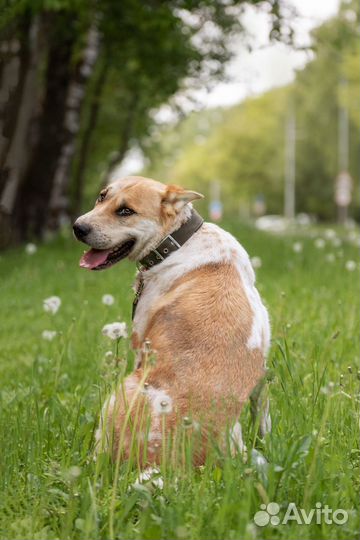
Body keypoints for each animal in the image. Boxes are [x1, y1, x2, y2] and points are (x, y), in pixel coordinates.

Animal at [73, 176, 270, 464]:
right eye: (101, 197)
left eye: (126, 211)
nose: (77, 227)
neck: (176, 242)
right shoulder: (263, 359)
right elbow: (262, 412)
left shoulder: (140, 343)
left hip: (119, 393)